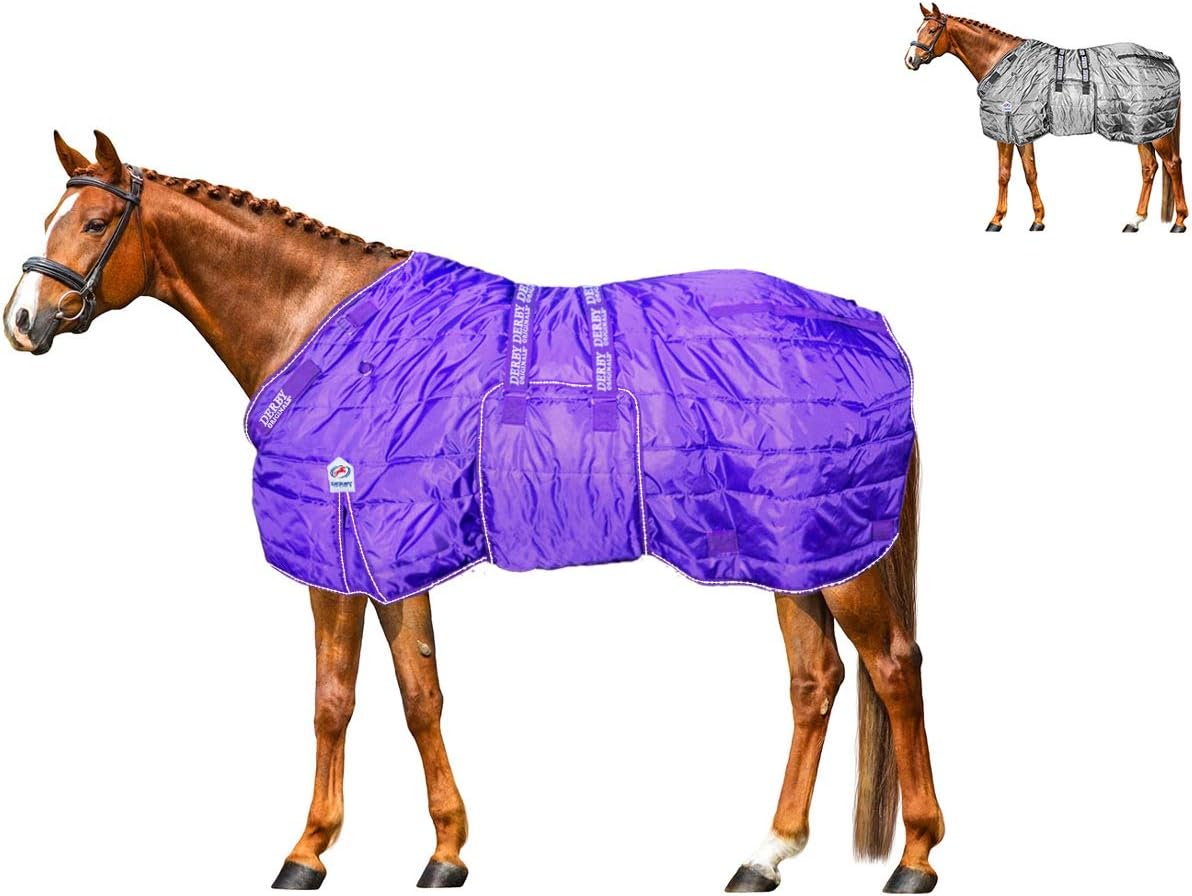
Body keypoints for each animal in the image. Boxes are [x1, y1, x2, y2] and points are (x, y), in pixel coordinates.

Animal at [3, 132, 945, 894]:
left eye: (94, 223)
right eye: (50, 215)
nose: (22, 321)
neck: (322, 329)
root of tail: (871, 326)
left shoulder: (343, 557)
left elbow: (336, 699)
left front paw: (308, 853)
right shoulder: (388, 560)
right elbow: (417, 693)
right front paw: (445, 851)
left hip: (837, 557)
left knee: (894, 669)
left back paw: (915, 859)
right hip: (789, 552)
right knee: (815, 681)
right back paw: (764, 856)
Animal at [906, 4, 1187, 233]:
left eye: (932, 30)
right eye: (919, 28)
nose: (910, 60)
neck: (1003, 64)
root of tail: (1166, 61)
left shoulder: (1012, 129)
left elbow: (1013, 174)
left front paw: (1004, 220)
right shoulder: (1016, 131)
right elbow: (1020, 172)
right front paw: (1030, 219)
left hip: (1155, 130)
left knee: (1172, 165)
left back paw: (1179, 222)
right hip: (1140, 129)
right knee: (1149, 168)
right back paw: (1134, 221)